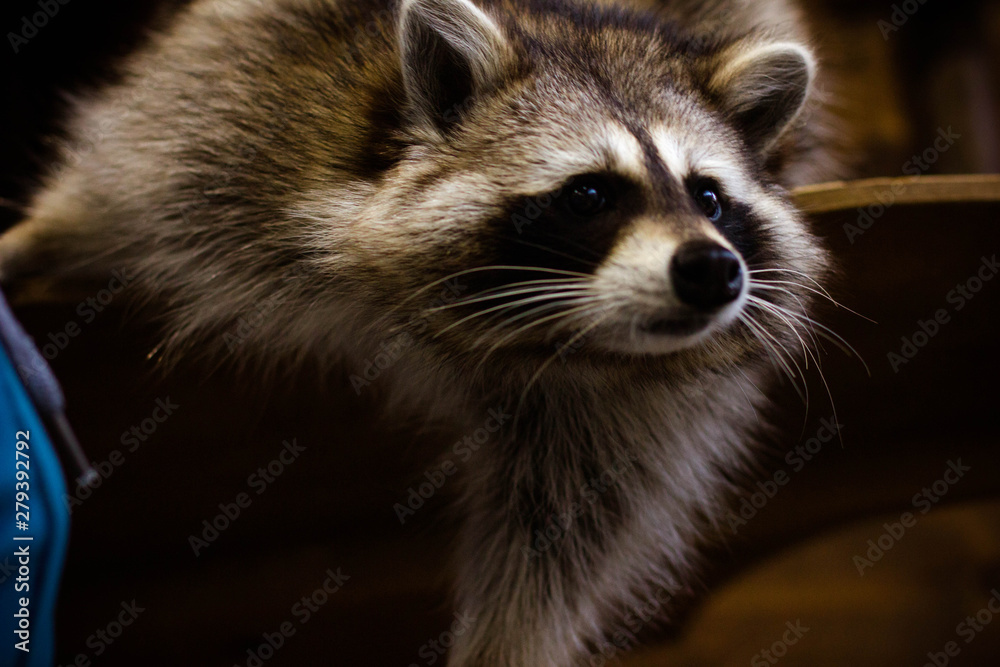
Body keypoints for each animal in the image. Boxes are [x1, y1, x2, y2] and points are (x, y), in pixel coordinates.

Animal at [0, 0, 836, 664]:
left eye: (709, 196)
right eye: (589, 193)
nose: (713, 270)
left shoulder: (624, 408)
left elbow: (564, 542)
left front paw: (505, 644)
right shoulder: (250, 115)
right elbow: (127, 180)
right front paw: (39, 234)